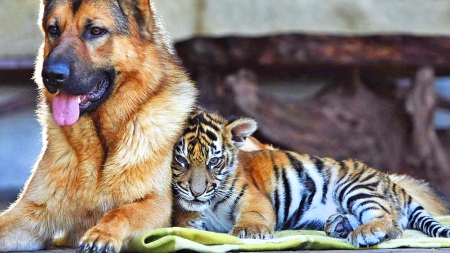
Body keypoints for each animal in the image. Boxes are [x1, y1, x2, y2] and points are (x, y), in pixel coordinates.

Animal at [0, 0, 197, 252]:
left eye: (95, 31)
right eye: (54, 30)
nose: (50, 75)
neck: (100, 143)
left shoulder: (157, 206)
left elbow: (120, 212)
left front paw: (102, 233)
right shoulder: (31, 211)